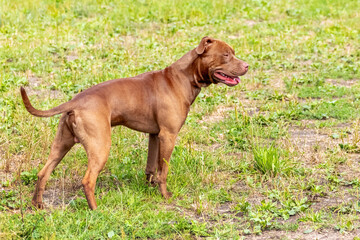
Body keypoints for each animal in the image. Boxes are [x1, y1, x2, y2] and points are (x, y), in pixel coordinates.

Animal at [20, 36, 248, 209]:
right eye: (226, 55)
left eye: (232, 52)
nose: (247, 65)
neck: (184, 76)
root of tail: (75, 101)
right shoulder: (169, 135)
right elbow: (164, 170)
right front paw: (165, 195)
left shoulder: (155, 135)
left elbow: (151, 166)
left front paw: (150, 187)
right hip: (100, 146)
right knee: (88, 180)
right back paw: (95, 210)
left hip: (61, 145)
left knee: (43, 173)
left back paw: (37, 204)